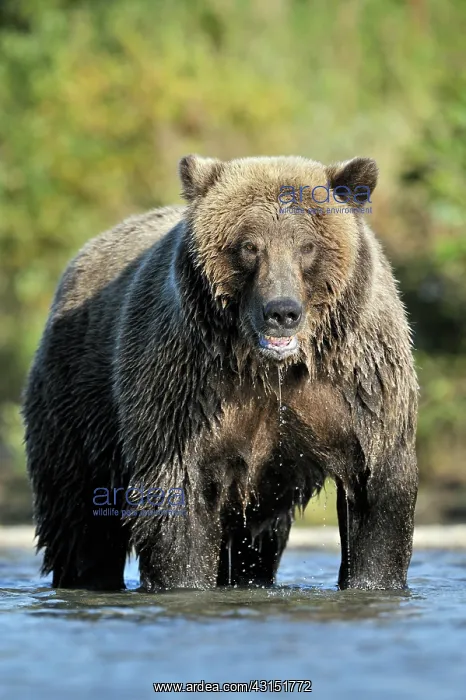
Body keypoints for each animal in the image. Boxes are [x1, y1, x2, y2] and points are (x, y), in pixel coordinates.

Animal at [22, 154, 418, 592]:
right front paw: (183, 580)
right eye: (249, 246)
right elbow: (180, 503)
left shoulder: (356, 385)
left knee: (256, 542)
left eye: (307, 245)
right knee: (80, 518)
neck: (271, 368)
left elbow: (377, 494)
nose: (282, 311)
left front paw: (373, 581)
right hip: (81, 400)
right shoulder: (190, 388)